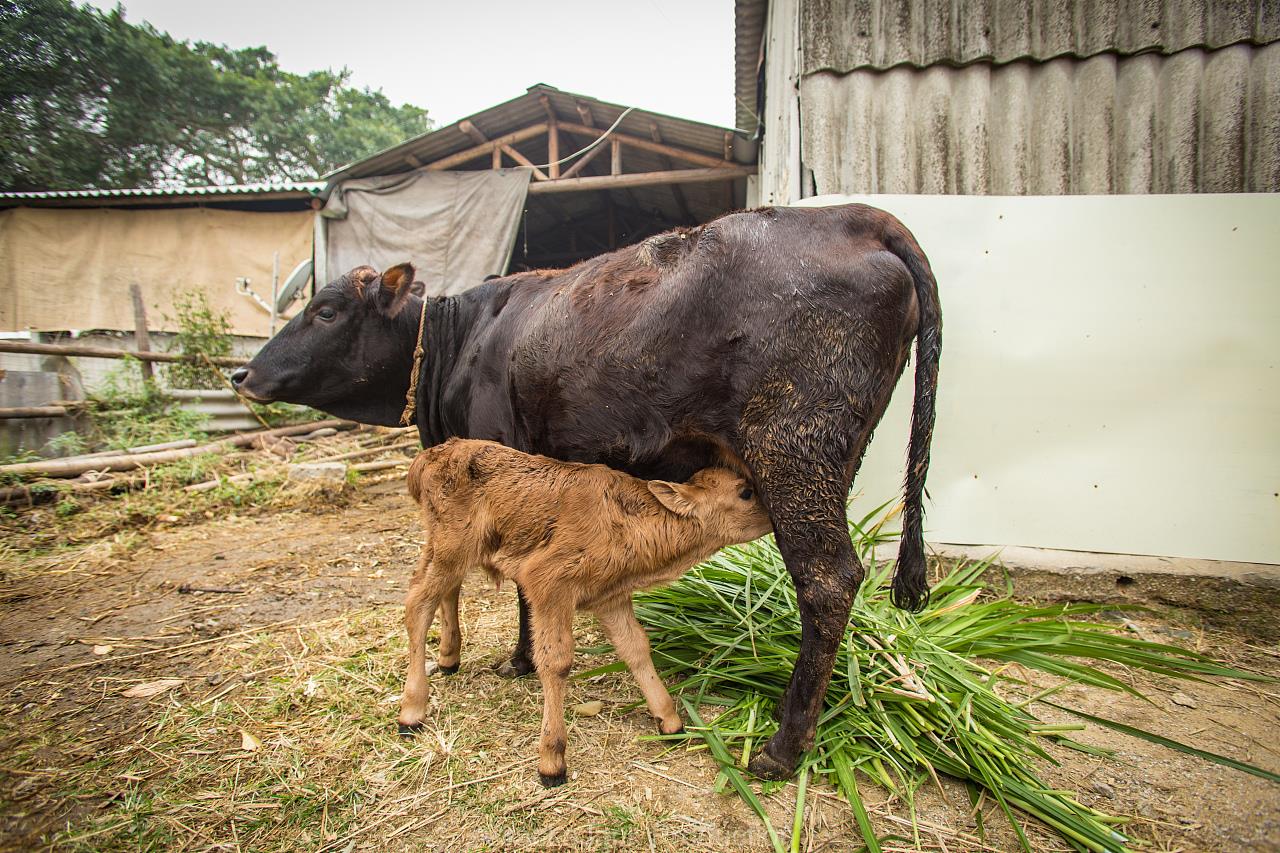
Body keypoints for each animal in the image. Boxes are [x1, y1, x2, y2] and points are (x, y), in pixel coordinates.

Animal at [394, 438, 768, 783]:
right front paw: (552, 761)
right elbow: (556, 661)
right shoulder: (548, 585)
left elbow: (636, 648)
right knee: (417, 604)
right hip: (451, 548)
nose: (773, 516)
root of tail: (433, 454)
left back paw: (448, 659)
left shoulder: (611, 599)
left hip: (449, 552)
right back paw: (411, 712)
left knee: (445, 591)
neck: (626, 520)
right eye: (746, 492)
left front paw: (670, 721)